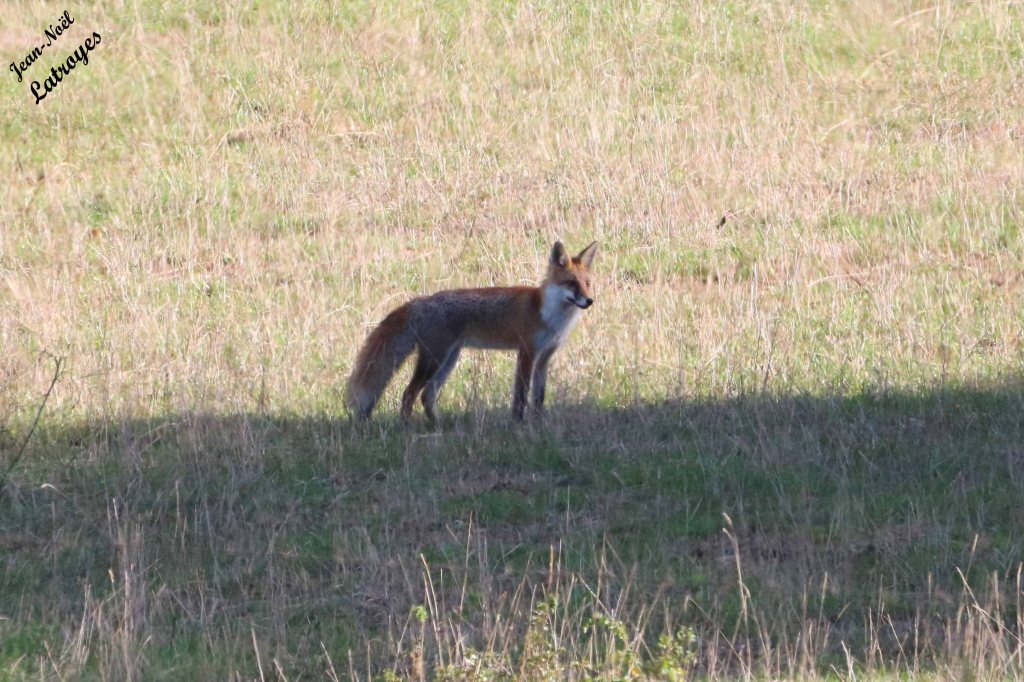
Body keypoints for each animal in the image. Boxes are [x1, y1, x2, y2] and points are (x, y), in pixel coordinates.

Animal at [347, 240, 599, 422]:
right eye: (571, 283)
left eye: (587, 283)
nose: (589, 301)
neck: (549, 314)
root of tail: (421, 301)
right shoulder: (526, 353)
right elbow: (520, 395)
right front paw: (519, 423)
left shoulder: (544, 358)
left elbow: (539, 397)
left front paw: (538, 422)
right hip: (433, 361)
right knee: (409, 394)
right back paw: (406, 426)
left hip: (448, 360)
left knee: (426, 396)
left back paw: (438, 425)